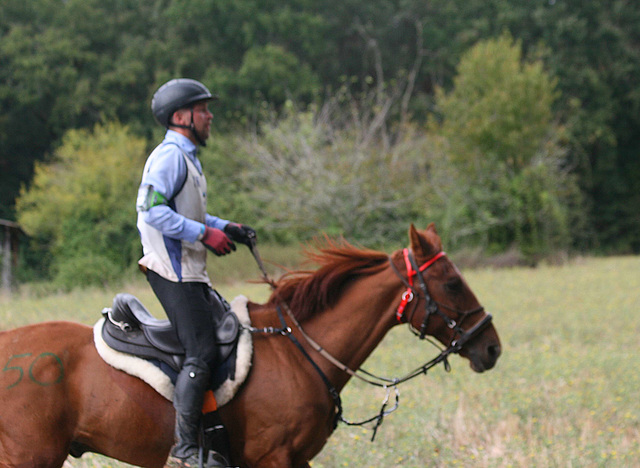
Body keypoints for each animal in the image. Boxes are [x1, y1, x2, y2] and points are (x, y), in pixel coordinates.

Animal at [0, 225, 500, 466]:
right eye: (452, 283)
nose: (491, 347)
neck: (300, 350)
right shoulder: (273, 458)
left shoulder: (294, 461)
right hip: (30, 458)